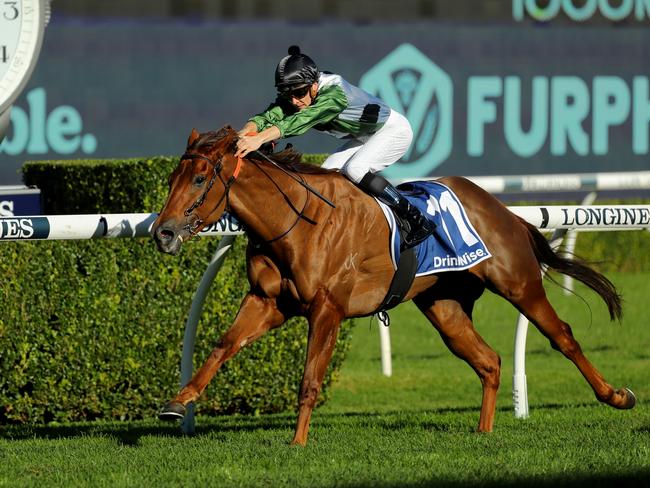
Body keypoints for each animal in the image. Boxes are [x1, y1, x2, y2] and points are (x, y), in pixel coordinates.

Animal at [152, 127, 632, 446]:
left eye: (199, 179)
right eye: (172, 179)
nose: (163, 233)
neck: (297, 220)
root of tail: (503, 209)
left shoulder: (328, 308)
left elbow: (310, 378)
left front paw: (298, 442)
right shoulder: (268, 301)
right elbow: (223, 345)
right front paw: (177, 402)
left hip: (518, 284)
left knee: (562, 337)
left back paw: (616, 395)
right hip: (444, 306)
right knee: (489, 361)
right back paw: (484, 431)